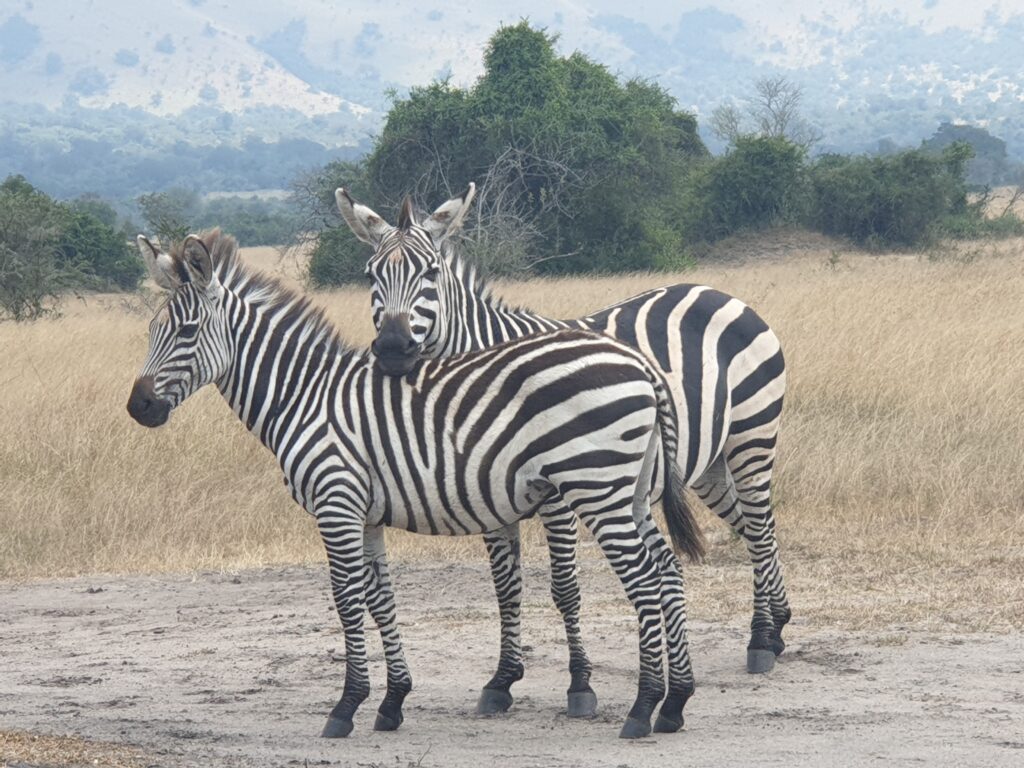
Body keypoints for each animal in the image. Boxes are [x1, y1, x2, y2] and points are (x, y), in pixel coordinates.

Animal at [125, 228, 706, 739]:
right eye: (152, 332)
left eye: (186, 333)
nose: (139, 408)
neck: (305, 397)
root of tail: (640, 363)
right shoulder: (365, 514)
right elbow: (380, 598)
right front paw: (392, 701)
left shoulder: (336, 503)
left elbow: (346, 600)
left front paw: (346, 707)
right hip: (629, 491)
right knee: (666, 570)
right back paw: (675, 704)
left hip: (597, 487)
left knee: (644, 580)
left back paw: (642, 709)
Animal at [336, 185, 792, 693]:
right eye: (371, 275)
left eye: (430, 272)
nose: (393, 350)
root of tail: (715, 292)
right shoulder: (482, 492)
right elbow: (505, 587)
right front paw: (503, 679)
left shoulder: (555, 494)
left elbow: (564, 588)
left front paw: (579, 683)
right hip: (708, 464)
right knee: (749, 526)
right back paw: (775, 624)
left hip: (752, 436)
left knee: (760, 528)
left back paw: (762, 639)